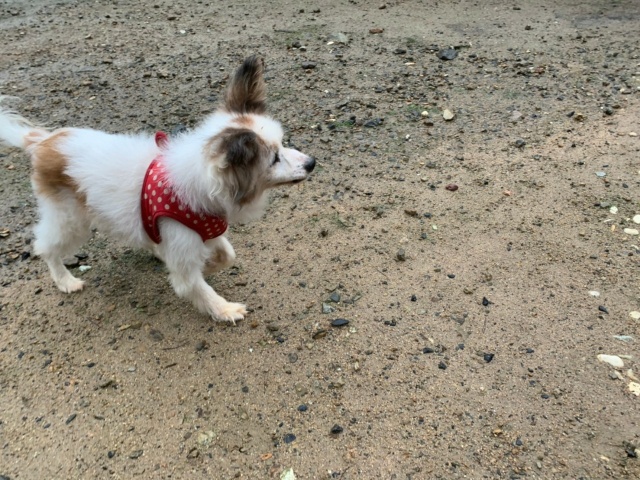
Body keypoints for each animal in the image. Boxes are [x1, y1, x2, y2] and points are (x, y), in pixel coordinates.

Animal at [0, 56, 315, 323]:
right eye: (274, 159)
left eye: (283, 143)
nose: (312, 163)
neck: (201, 185)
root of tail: (42, 142)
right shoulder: (183, 246)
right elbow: (195, 286)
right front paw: (225, 309)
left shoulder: (205, 229)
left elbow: (228, 255)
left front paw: (209, 266)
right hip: (70, 220)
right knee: (45, 247)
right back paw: (65, 280)